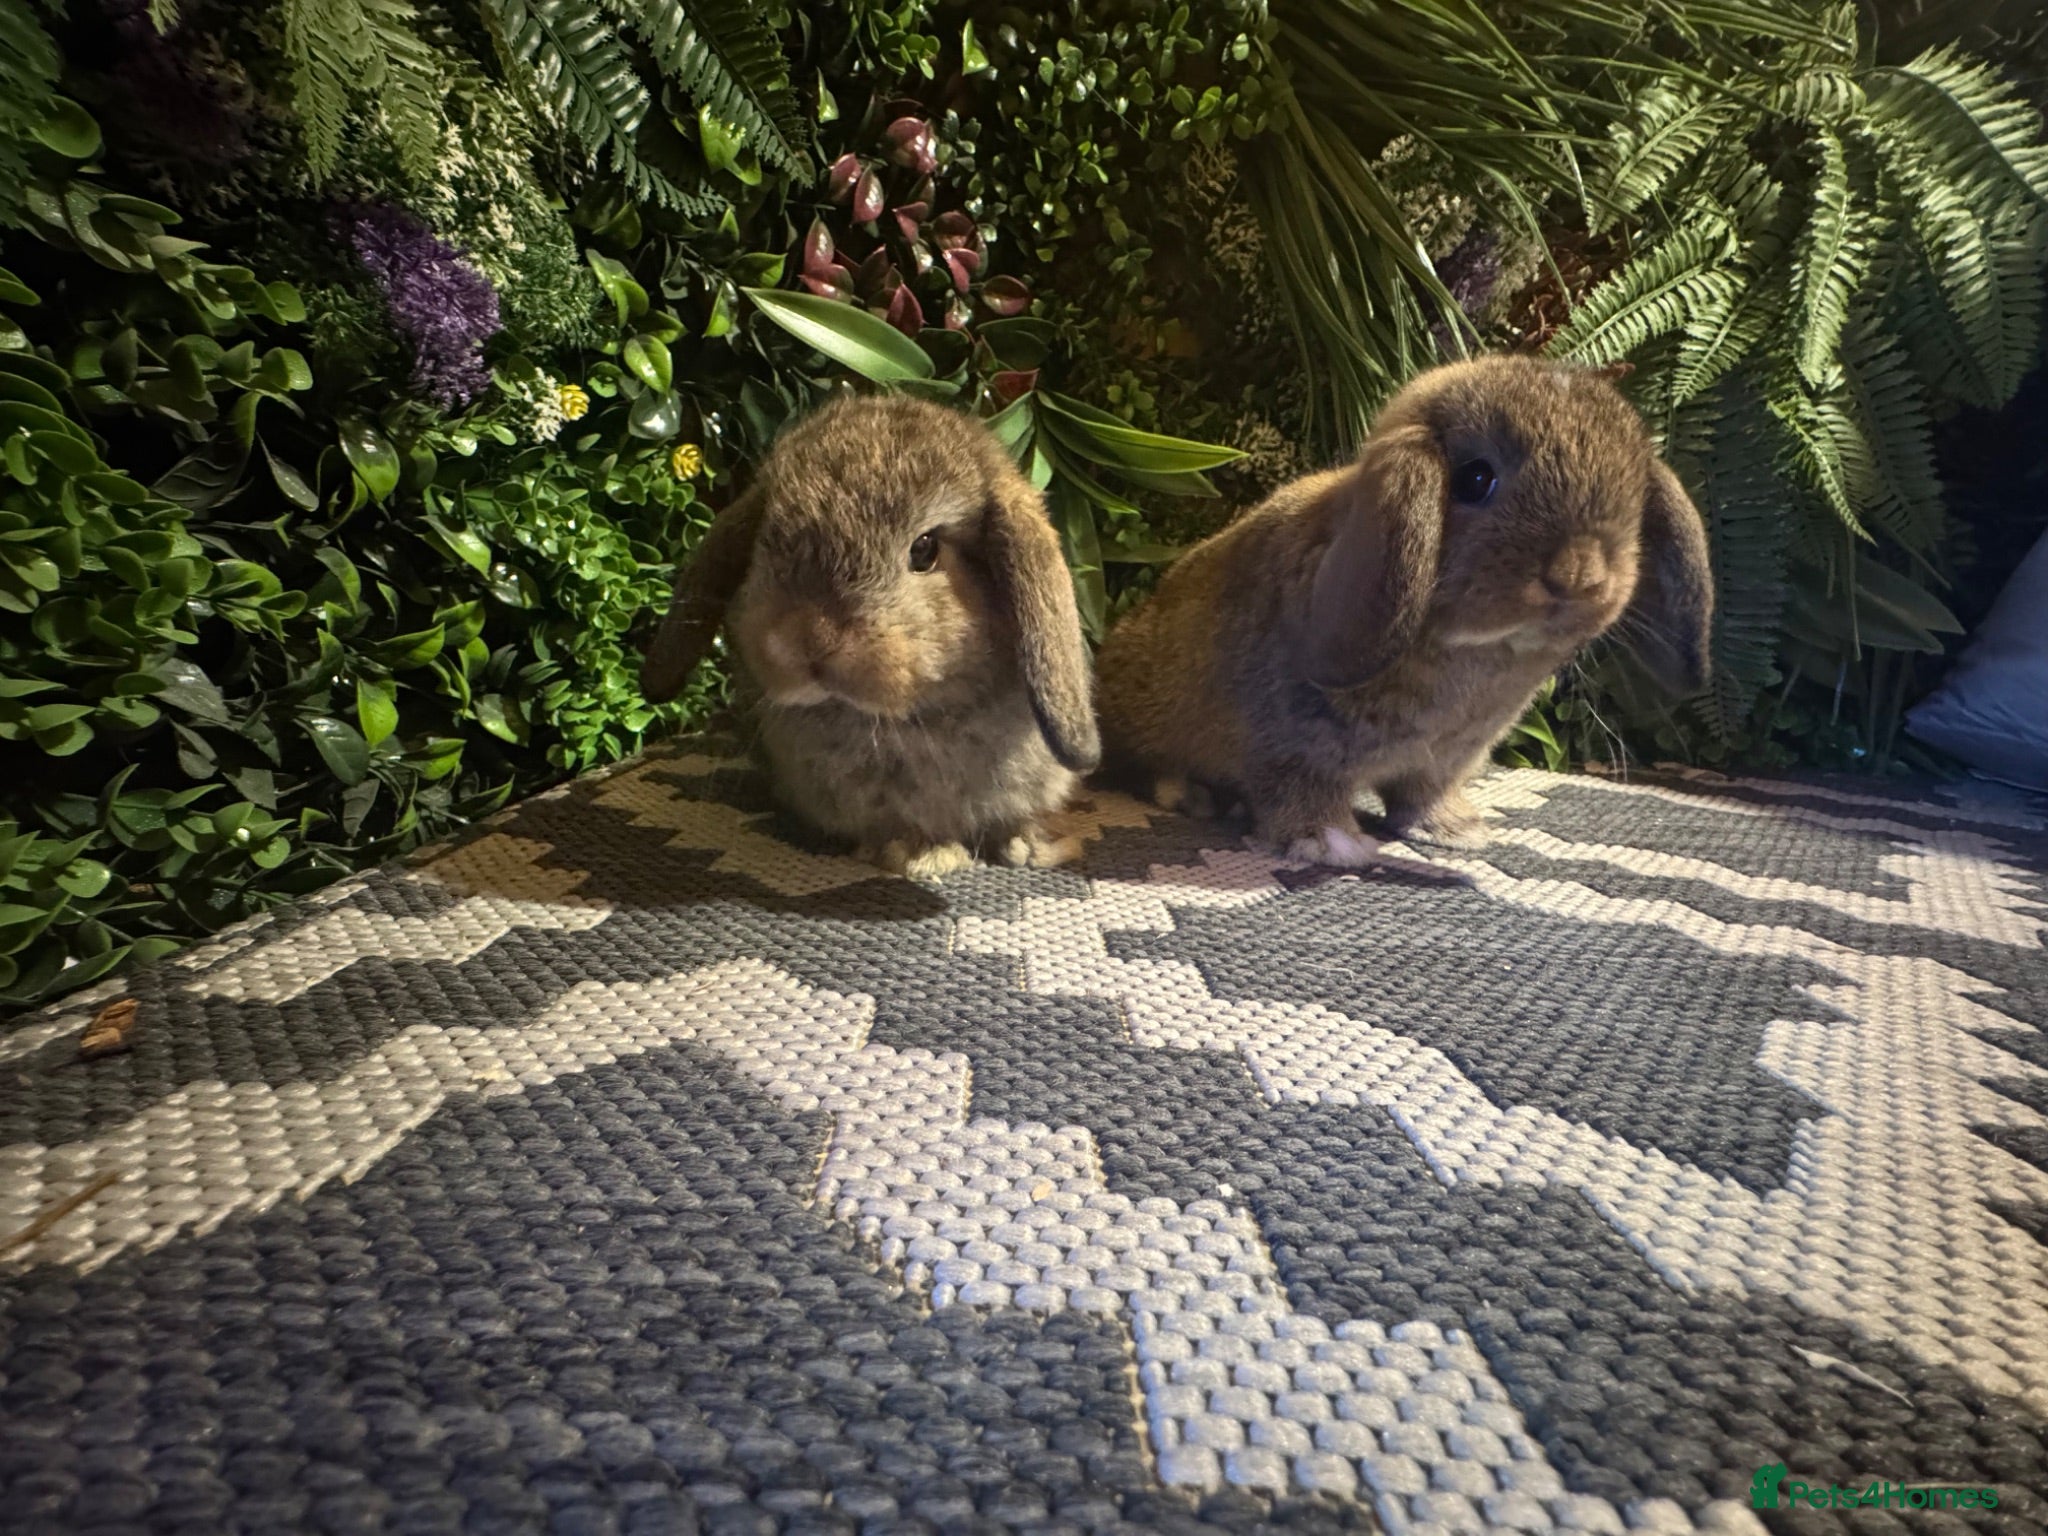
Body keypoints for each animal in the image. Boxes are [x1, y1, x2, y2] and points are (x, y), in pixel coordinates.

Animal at [639, 393, 1100, 881]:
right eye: (768, 539)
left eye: (924, 549)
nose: (810, 639)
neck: (914, 720)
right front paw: (922, 855)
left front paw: (1023, 845)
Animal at [1094, 353, 1714, 867]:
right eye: (1476, 479)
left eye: (1633, 502)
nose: (1581, 576)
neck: (1478, 654)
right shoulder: (1291, 753)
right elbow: (1299, 798)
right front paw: (1332, 845)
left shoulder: (1441, 762)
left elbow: (1422, 796)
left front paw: (1456, 831)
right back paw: (1193, 795)